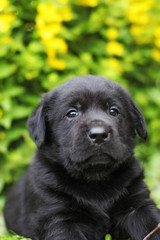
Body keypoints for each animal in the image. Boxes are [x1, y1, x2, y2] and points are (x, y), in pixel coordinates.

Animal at [4, 75, 160, 240]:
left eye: (113, 111)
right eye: (72, 113)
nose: (99, 135)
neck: (95, 179)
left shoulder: (138, 204)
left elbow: (152, 223)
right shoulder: (56, 215)